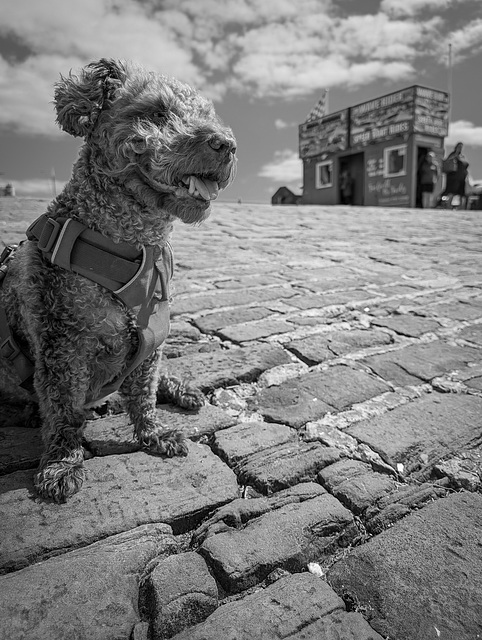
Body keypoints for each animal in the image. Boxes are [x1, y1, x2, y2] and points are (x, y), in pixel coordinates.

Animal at [0, 57, 237, 502]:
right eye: (157, 113)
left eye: (206, 114)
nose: (227, 144)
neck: (132, 246)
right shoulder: (61, 344)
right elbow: (62, 410)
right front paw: (61, 463)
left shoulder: (152, 337)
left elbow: (143, 393)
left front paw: (154, 434)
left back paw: (179, 388)